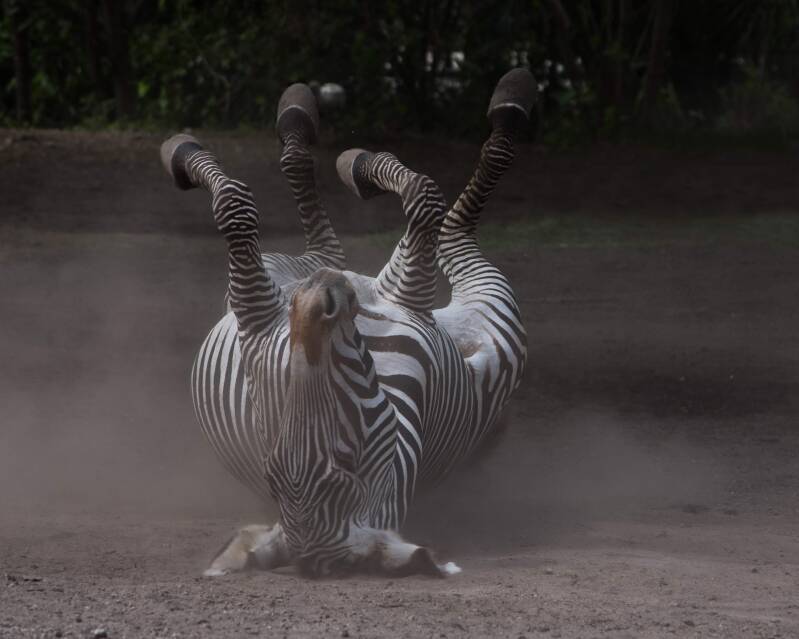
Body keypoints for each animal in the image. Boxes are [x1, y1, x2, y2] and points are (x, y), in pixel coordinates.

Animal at [160, 69, 535, 578]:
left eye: (347, 460)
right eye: (272, 474)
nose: (318, 299)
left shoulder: (264, 315)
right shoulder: (263, 312)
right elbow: (236, 207)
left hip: (324, 276)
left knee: (335, 225)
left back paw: (319, 136)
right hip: (462, 290)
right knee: (440, 224)